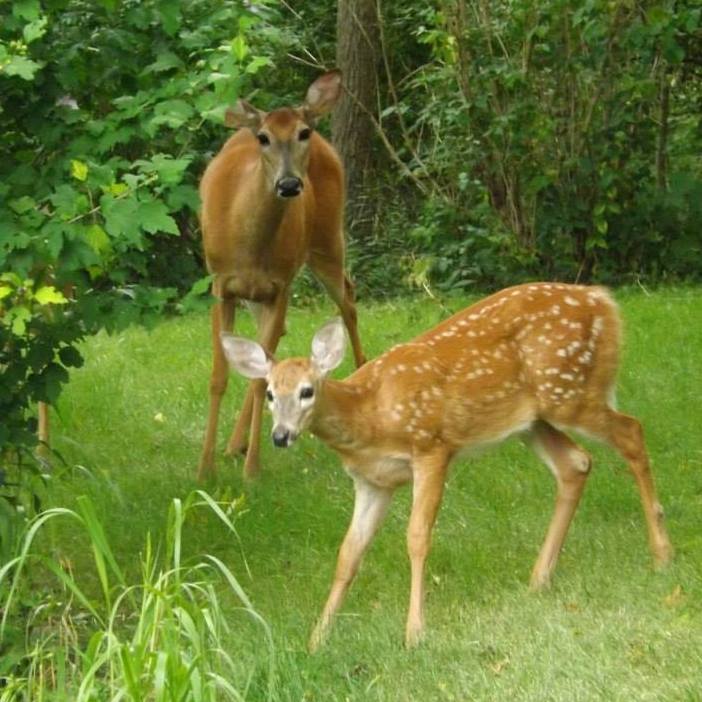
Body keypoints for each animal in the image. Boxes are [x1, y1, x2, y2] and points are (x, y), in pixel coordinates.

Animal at [195, 70, 366, 484]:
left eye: (302, 132)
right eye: (264, 137)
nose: (289, 184)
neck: (251, 245)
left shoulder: (281, 285)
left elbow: (261, 380)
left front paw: (252, 470)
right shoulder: (221, 284)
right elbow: (221, 376)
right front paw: (205, 469)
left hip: (327, 239)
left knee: (348, 298)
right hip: (258, 292)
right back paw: (233, 444)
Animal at [221, 284, 676, 652]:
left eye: (307, 391)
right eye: (269, 394)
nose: (281, 436)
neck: (369, 416)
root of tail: (603, 300)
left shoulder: (432, 447)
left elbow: (417, 537)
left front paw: (414, 633)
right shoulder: (372, 482)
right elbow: (349, 552)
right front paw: (318, 638)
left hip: (569, 391)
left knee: (632, 432)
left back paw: (661, 555)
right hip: (533, 419)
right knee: (576, 463)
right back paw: (539, 578)